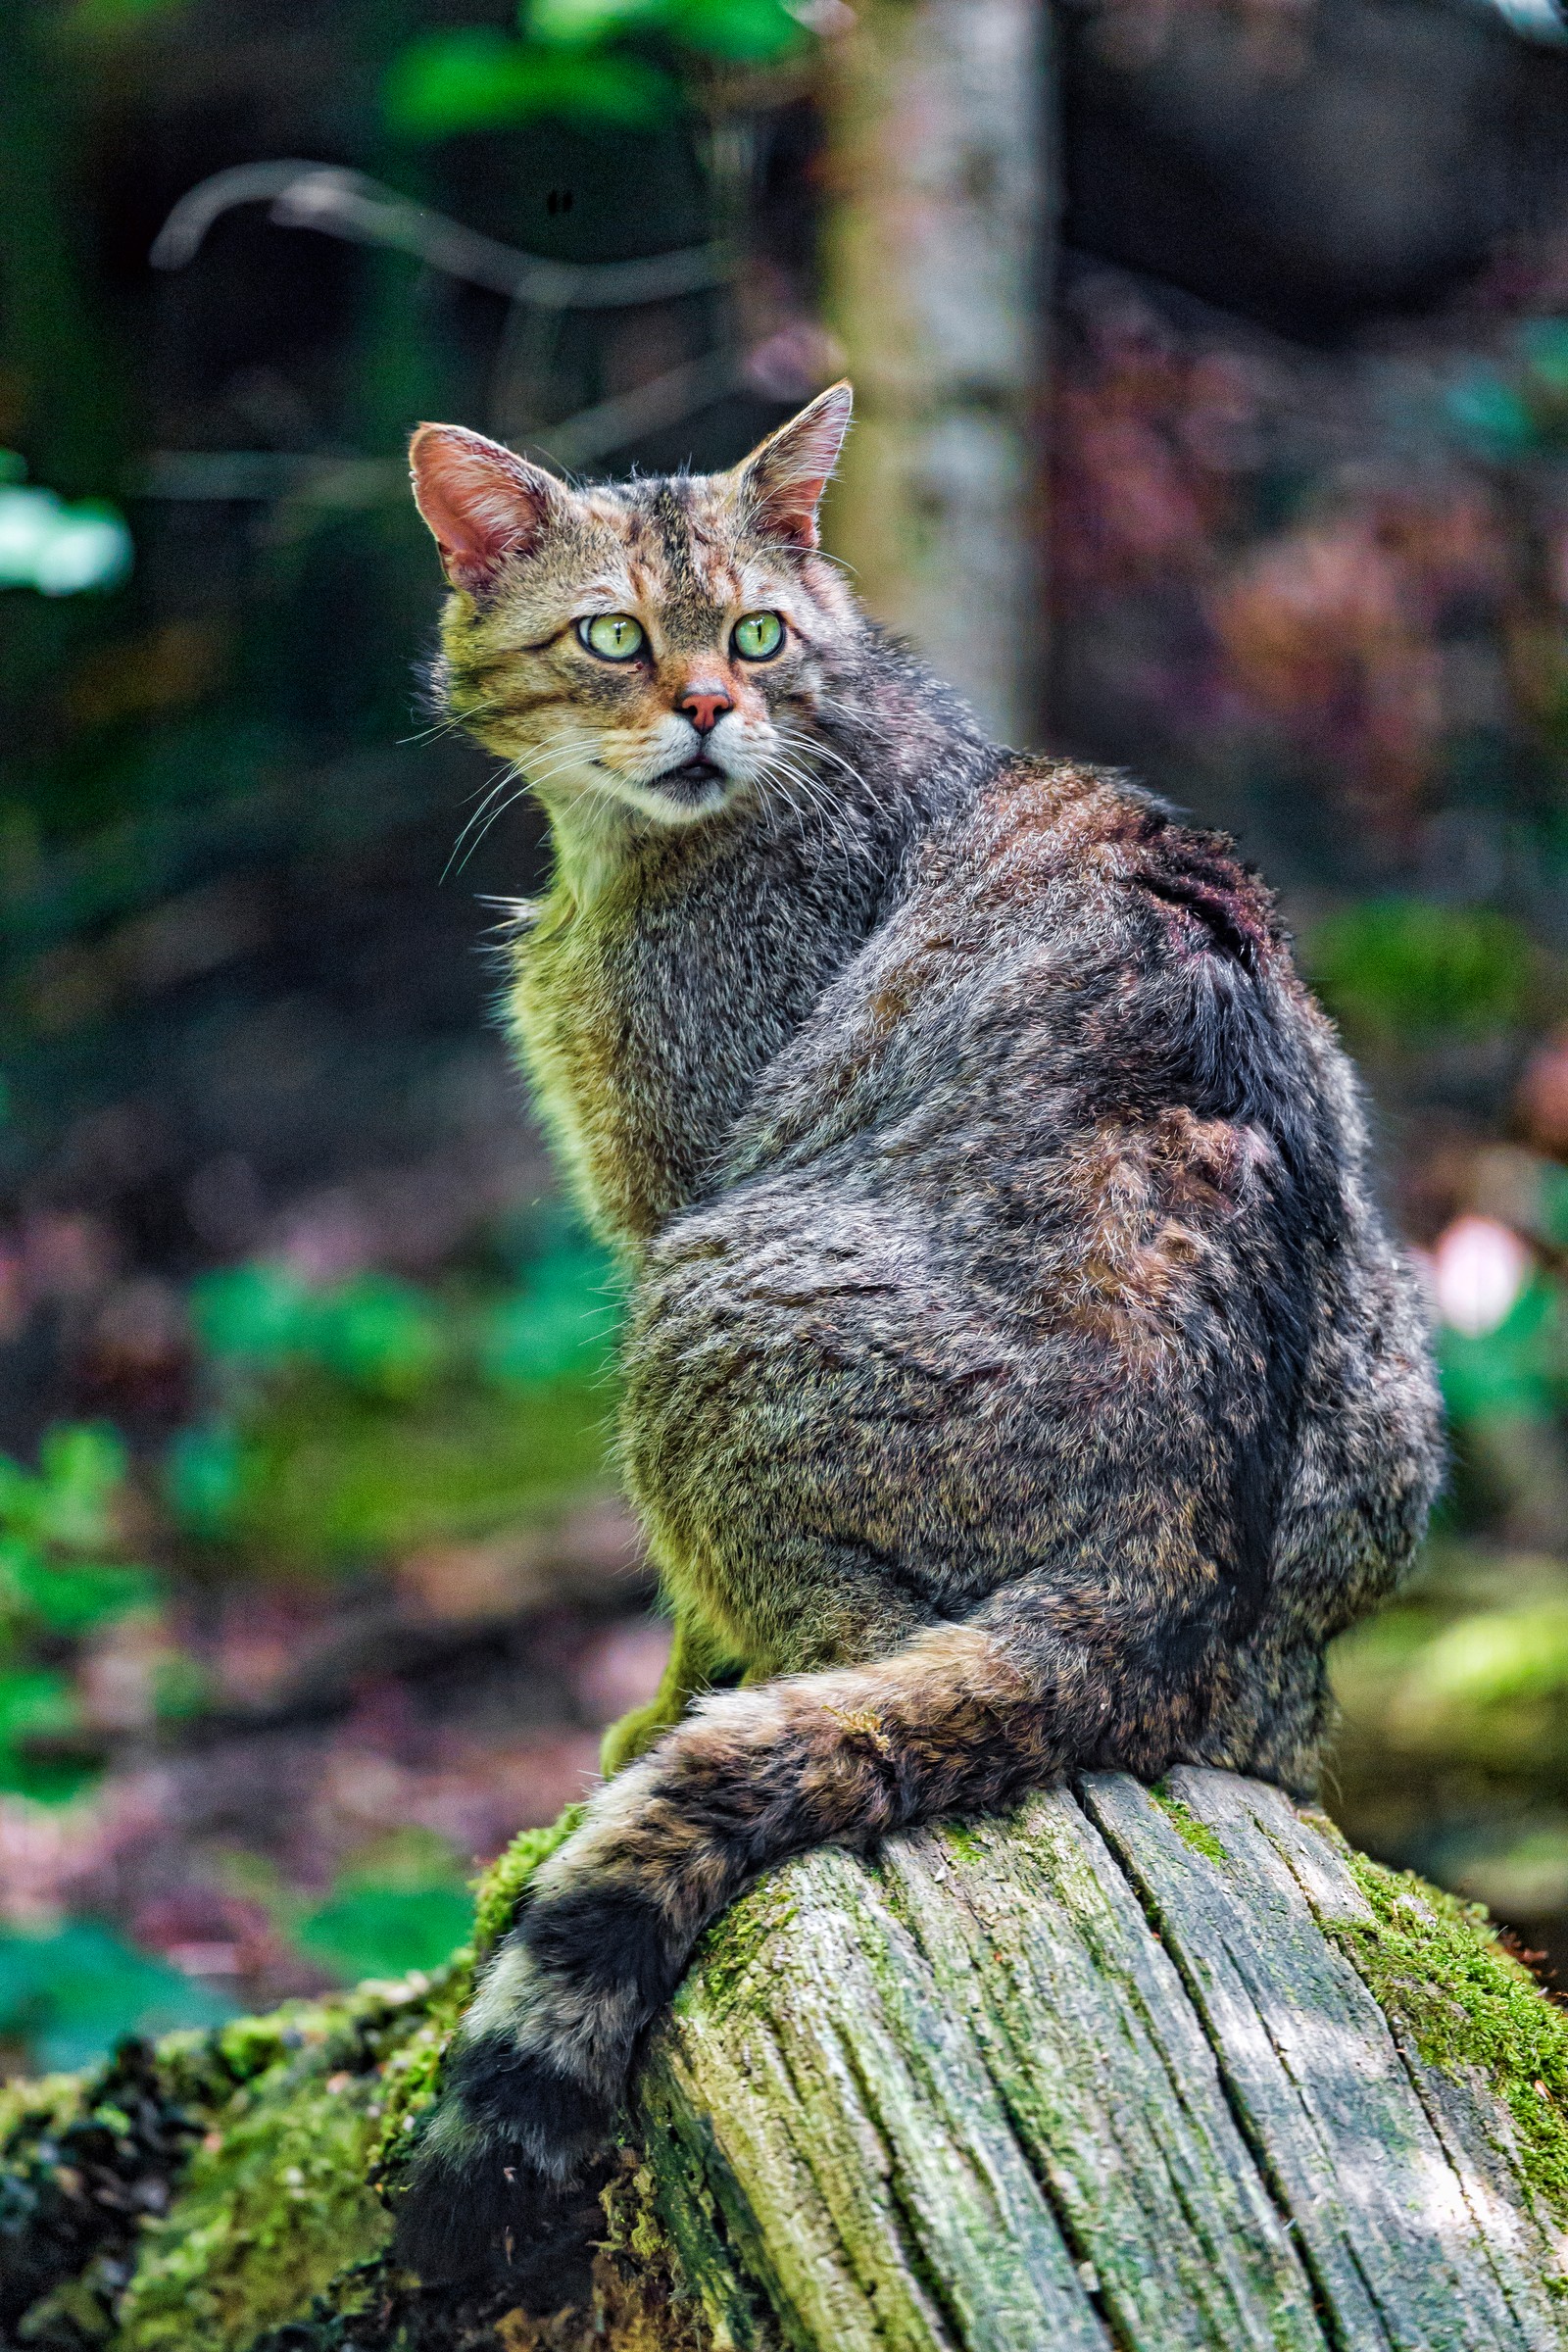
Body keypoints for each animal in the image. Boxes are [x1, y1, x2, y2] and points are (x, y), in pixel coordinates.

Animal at [394, 385, 1447, 2277]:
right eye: (613, 638)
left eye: (752, 635)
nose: (705, 710)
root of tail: (1163, 1562)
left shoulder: (668, 1195)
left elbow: (681, 1640)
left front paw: (636, 1730)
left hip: (704, 1308)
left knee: (825, 1650)